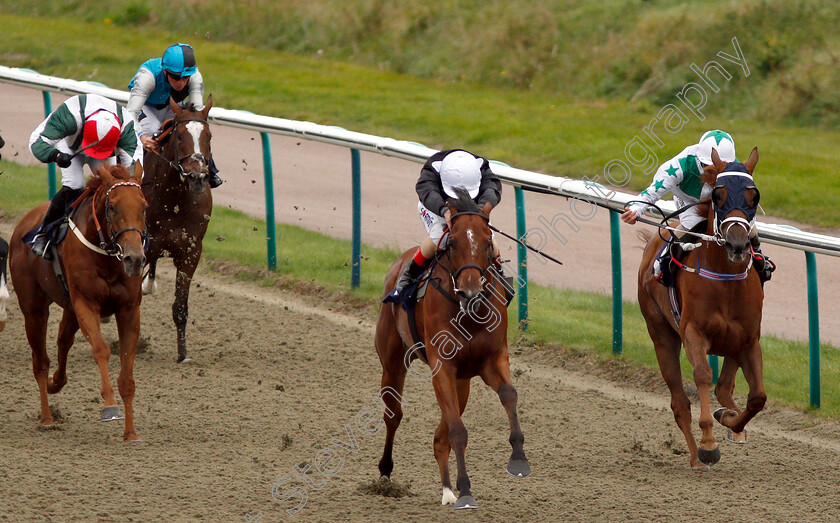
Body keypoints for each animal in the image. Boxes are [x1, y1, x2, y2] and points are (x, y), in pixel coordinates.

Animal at [9, 164, 147, 442]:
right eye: (112, 206)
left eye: (144, 206)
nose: (135, 259)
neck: (106, 256)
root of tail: (24, 222)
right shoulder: (86, 304)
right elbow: (101, 349)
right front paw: (110, 407)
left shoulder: (128, 310)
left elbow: (127, 374)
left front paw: (131, 433)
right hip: (34, 309)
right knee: (40, 361)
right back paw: (47, 418)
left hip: (69, 310)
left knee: (63, 342)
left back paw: (56, 383)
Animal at [142, 96, 215, 362]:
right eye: (180, 136)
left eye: (209, 136)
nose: (198, 177)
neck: (172, 199)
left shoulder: (190, 252)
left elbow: (181, 307)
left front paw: (183, 354)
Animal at [374, 189, 524, 512]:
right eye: (452, 242)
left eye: (488, 241)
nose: (470, 291)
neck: (469, 313)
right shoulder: (442, 366)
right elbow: (457, 431)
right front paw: (466, 490)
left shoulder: (492, 359)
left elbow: (508, 395)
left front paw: (519, 459)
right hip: (392, 363)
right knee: (393, 415)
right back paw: (385, 471)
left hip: (462, 382)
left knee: (439, 437)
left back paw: (446, 490)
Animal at [640, 147, 764, 470]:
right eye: (718, 195)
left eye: (754, 196)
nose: (737, 244)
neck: (725, 280)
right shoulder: (693, 333)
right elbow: (703, 376)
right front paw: (709, 443)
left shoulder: (749, 339)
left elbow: (757, 397)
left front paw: (730, 420)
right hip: (661, 336)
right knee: (680, 402)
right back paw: (697, 457)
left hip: (732, 342)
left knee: (724, 387)